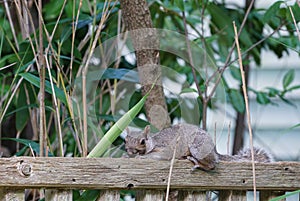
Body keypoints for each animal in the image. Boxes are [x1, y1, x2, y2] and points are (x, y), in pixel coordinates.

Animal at [124, 123, 272, 170]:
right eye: (125, 140)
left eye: (142, 141)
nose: (130, 150)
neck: (153, 142)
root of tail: (214, 151)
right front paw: (126, 156)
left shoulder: (165, 149)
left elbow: (157, 155)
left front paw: (141, 157)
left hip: (197, 147)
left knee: (212, 164)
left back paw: (198, 163)